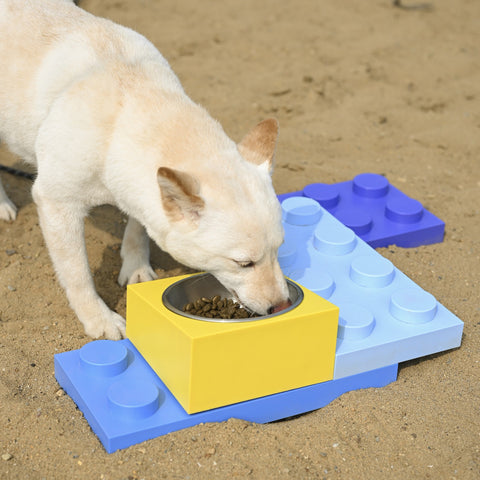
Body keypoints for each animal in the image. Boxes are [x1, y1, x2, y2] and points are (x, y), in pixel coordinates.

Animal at [0, 0, 288, 338]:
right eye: (243, 263)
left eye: (279, 249)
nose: (281, 306)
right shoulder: (56, 203)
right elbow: (77, 274)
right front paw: (99, 319)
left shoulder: (143, 188)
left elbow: (139, 226)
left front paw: (136, 266)